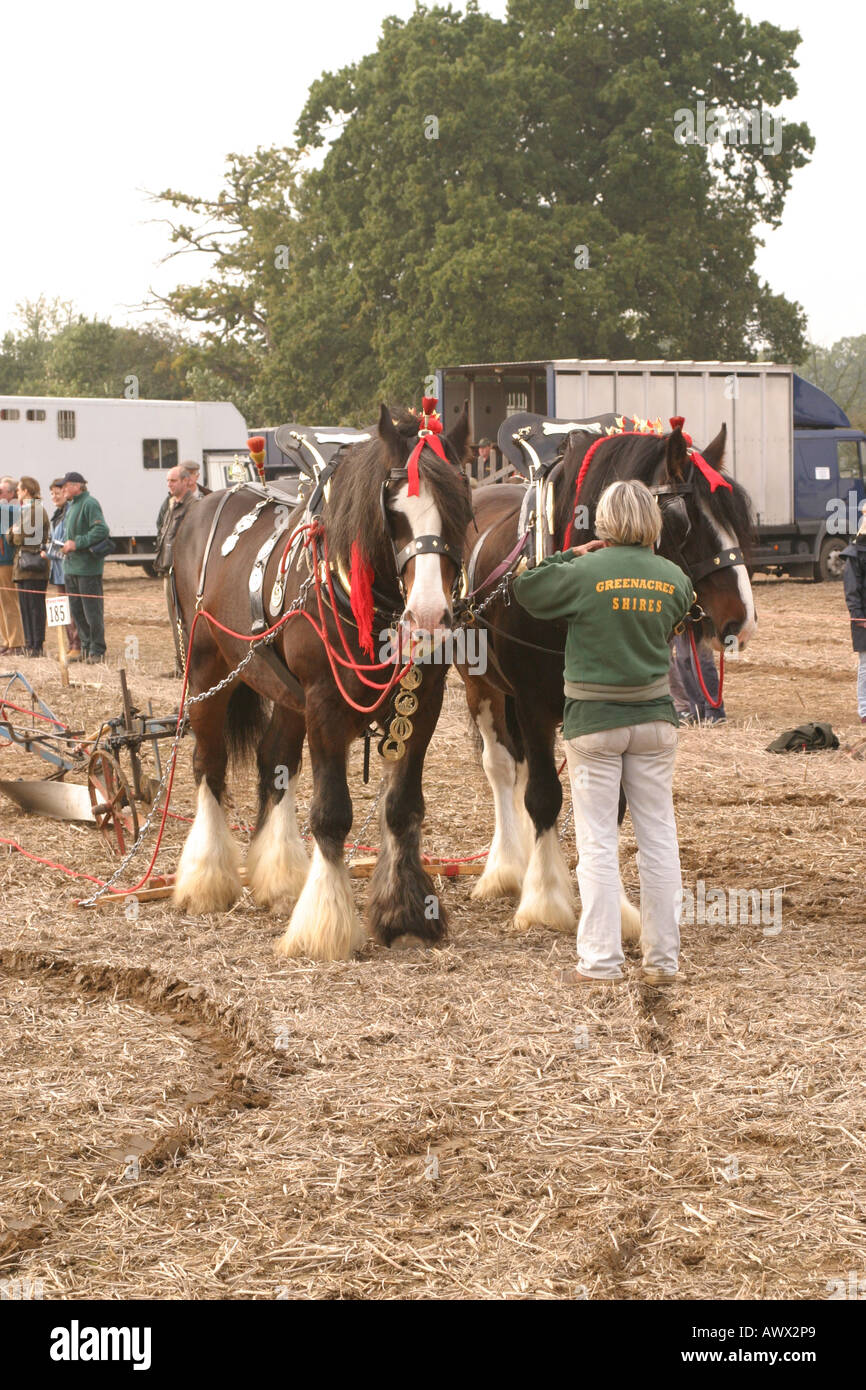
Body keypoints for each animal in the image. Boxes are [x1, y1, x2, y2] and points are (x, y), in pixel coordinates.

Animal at [170, 405, 475, 961]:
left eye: (462, 507)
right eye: (393, 511)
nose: (427, 616)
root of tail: (205, 501)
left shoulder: (423, 704)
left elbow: (402, 808)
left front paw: (405, 913)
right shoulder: (326, 704)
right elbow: (332, 814)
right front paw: (326, 925)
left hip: (286, 693)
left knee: (274, 762)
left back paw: (277, 879)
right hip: (207, 669)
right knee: (210, 765)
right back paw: (206, 880)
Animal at [458, 414, 756, 934]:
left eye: (737, 515)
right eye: (685, 519)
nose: (740, 620)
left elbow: (609, 806)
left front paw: (613, 907)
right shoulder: (534, 704)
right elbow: (544, 795)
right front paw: (545, 899)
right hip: (481, 683)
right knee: (502, 768)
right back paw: (506, 870)